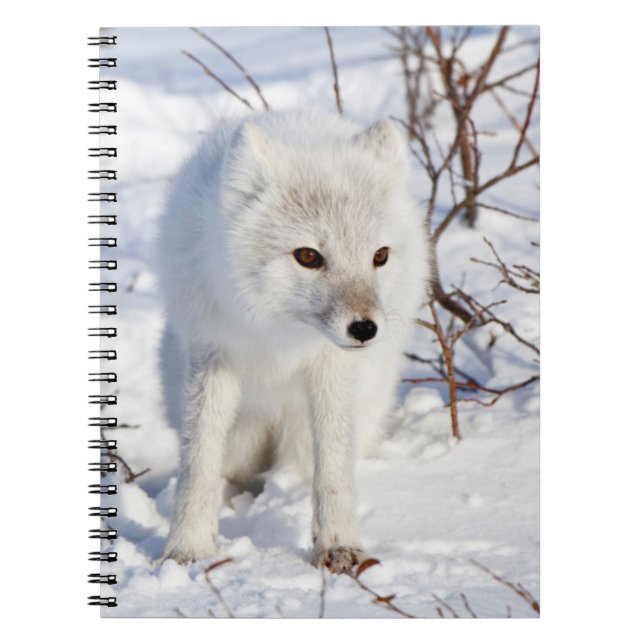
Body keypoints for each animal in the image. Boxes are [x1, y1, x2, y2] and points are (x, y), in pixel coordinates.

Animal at [156, 110, 429, 573]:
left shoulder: (331, 368)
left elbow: (334, 468)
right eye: (308, 256)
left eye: (379, 255)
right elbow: (199, 463)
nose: (365, 329)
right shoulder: (213, 354)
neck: (279, 334)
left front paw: (339, 546)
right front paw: (186, 549)